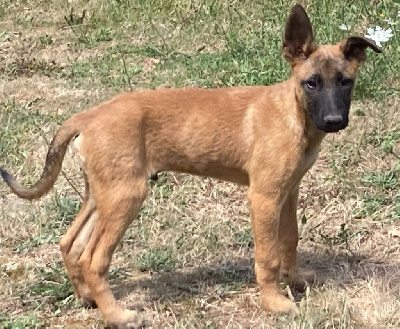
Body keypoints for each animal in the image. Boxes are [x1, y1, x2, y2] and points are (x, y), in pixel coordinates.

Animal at [0, 5, 382, 328]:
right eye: (311, 83)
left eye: (346, 82)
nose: (334, 121)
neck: (294, 113)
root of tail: (87, 116)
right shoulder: (263, 197)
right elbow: (267, 255)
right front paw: (275, 303)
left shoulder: (287, 192)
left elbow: (290, 239)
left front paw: (297, 280)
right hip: (127, 196)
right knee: (94, 259)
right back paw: (117, 315)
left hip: (102, 193)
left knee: (70, 243)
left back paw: (86, 298)